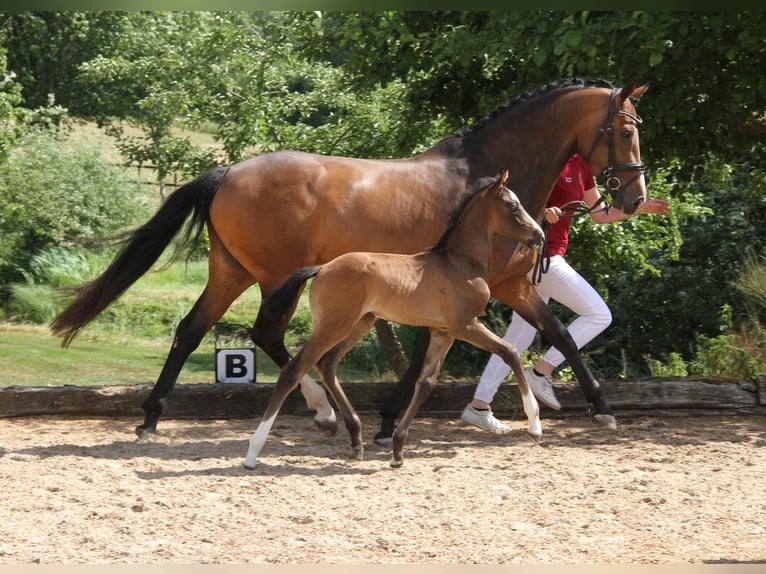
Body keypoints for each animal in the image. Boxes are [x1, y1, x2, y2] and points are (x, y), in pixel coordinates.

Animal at [243, 170, 545, 469]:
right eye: (513, 205)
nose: (539, 236)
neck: (459, 264)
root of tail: (323, 267)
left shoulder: (443, 332)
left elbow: (426, 383)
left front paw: (398, 449)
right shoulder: (466, 325)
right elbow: (511, 352)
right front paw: (535, 427)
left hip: (359, 324)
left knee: (326, 364)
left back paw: (356, 439)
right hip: (334, 326)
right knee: (293, 371)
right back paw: (253, 453)